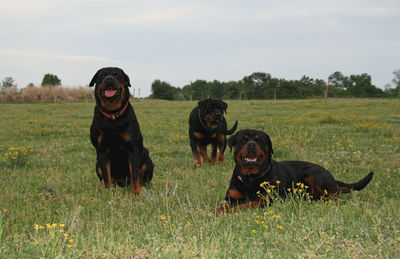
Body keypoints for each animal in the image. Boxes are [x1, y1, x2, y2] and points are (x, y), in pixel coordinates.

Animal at [89, 67, 153, 195]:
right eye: (102, 76)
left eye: (117, 75)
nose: (109, 78)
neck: (113, 114)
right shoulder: (102, 150)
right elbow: (106, 175)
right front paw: (108, 193)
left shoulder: (132, 148)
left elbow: (135, 174)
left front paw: (136, 193)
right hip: (97, 164)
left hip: (147, 158)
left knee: (141, 177)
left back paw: (142, 187)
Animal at [217, 129, 374, 214]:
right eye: (242, 140)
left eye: (259, 140)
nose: (251, 144)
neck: (250, 178)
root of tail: (333, 177)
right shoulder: (229, 197)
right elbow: (222, 205)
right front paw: (218, 212)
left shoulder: (268, 199)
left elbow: (247, 204)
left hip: (312, 173)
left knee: (336, 198)